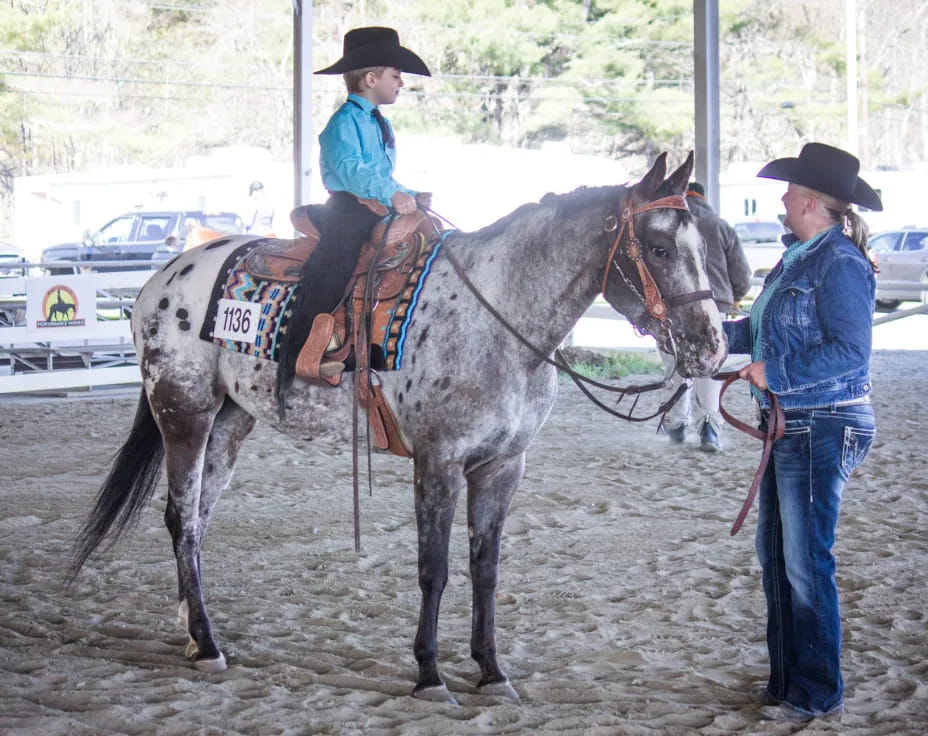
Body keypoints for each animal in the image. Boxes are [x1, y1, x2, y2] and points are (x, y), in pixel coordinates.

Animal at [70, 152, 724, 704]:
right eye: (659, 248)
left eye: (704, 244)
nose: (711, 344)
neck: (497, 319)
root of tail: (162, 277)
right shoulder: (438, 461)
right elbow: (434, 569)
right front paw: (430, 675)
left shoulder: (503, 465)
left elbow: (486, 569)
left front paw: (492, 672)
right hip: (184, 412)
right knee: (182, 518)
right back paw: (207, 644)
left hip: (233, 420)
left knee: (197, 520)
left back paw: (191, 628)